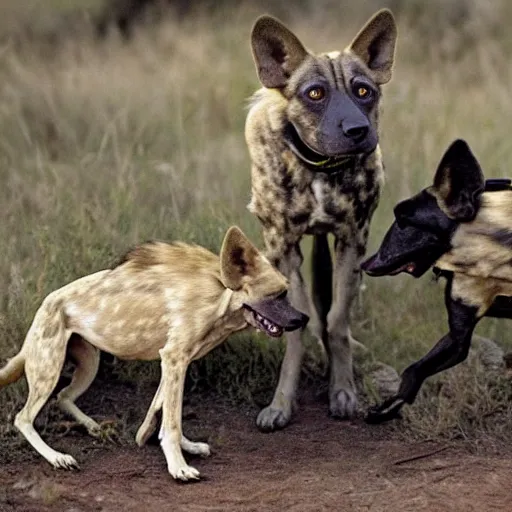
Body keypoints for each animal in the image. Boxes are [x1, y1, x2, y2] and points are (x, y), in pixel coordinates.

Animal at [0, 227, 306, 480]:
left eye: (287, 292)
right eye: (278, 294)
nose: (303, 318)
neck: (220, 298)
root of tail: (44, 307)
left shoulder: (176, 361)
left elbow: (162, 412)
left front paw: (169, 443)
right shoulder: (174, 358)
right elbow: (172, 421)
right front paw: (178, 468)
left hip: (88, 365)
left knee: (63, 397)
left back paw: (94, 427)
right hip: (49, 370)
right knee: (23, 418)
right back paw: (58, 458)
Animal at [246, 10, 398, 430]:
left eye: (363, 91)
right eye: (315, 94)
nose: (358, 131)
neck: (318, 168)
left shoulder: (352, 242)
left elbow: (337, 321)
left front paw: (342, 389)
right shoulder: (283, 251)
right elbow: (297, 331)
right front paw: (282, 403)